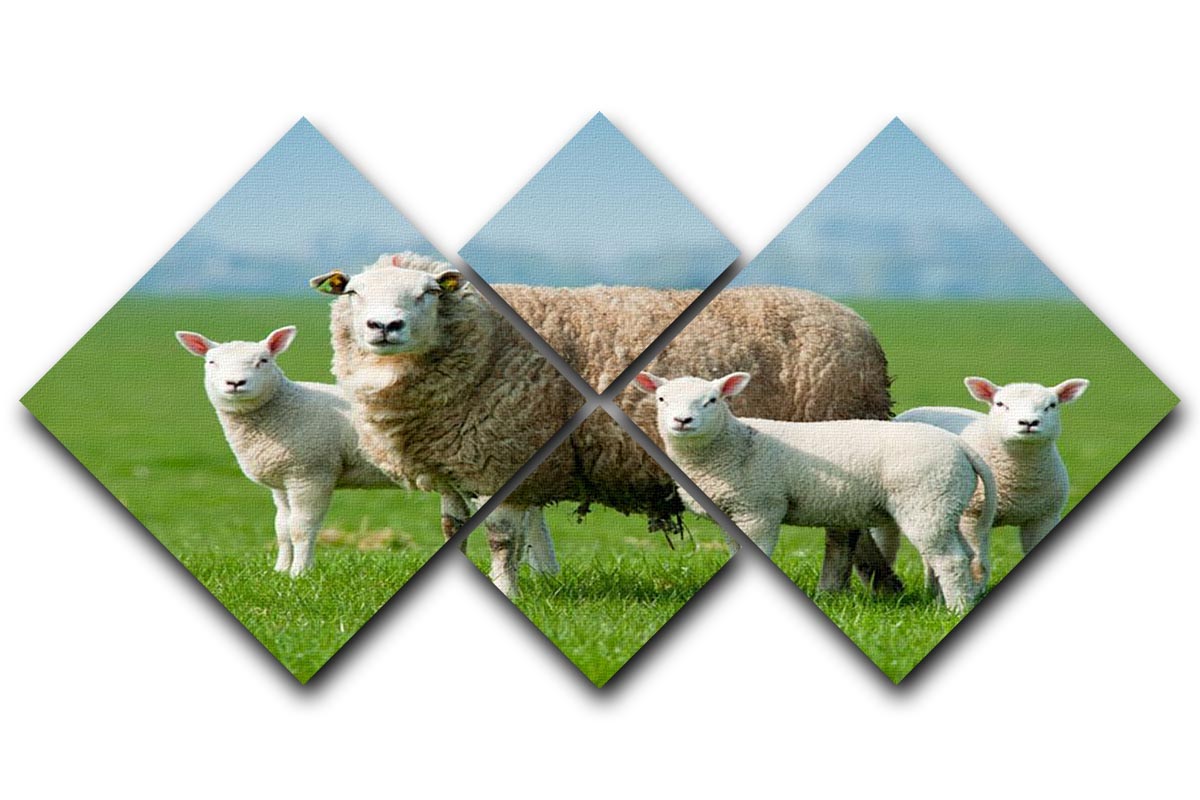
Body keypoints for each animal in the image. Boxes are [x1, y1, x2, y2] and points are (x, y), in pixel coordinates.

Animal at [175, 325, 399, 576]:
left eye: (263, 361)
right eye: (211, 362)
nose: (235, 383)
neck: (282, 408)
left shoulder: (310, 474)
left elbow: (301, 528)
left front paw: (299, 572)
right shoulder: (282, 481)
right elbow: (282, 528)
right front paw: (281, 569)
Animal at [311, 252, 899, 597]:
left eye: (429, 293)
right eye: (352, 292)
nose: (384, 326)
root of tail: (856, 321)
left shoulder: (503, 457)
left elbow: (501, 537)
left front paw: (509, 592)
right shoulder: (453, 464)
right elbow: (453, 530)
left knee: (842, 533)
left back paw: (830, 591)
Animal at [635, 371, 998, 613]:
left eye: (712, 401)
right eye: (661, 399)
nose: (683, 421)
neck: (730, 445)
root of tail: (961, 447)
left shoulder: (760, 508)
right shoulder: (731, 511)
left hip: (927, 500)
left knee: (949, 559)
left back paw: (956, 609)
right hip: (946, 504)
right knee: (965, 554)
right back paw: (954, 601)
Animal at [872, 377, 1090, 585]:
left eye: (1052, 405)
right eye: (1000, 404)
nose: (1028, 423)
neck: (1019, 481)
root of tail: (917, 409)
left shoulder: (1043, 517)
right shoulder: (973, 516)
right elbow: (978, 567)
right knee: (887, 543)